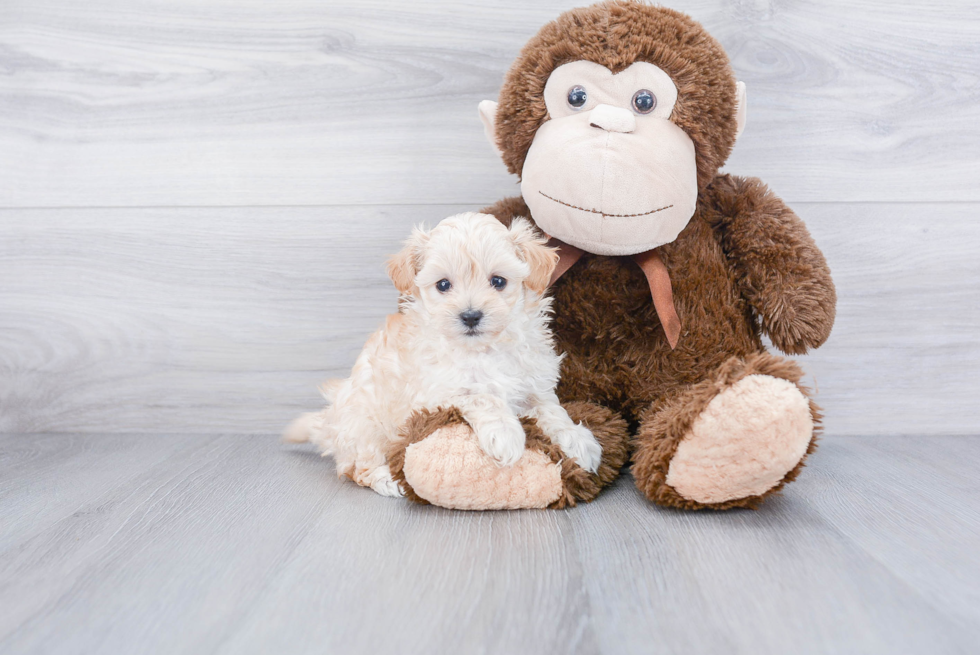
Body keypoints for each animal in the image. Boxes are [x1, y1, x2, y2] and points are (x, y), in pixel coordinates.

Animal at [284, 214, 600, 498]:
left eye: (498, 281)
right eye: (443, 285)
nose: (470, 316)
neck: (484, 349)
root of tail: (329, 421)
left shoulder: (534, 386)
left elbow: (552, 410)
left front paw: (577, 440)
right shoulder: (436, 393)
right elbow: (481, 396)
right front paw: (505, 434)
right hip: (364, 425)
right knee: (356, 467)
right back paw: (386, 480)